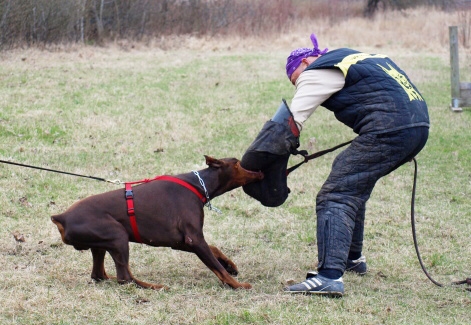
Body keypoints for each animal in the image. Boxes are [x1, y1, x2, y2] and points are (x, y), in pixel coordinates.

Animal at [52, 156, 266, 290]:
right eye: (238, 163)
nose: (260, 172)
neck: (200, 184)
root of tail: (61, 217)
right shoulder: (194, 239)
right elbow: (215, 266)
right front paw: (237, 285)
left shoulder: (180, 241)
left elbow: (214, 249)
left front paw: (230, 264)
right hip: (117, 235)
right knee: (125, 278)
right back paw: (155, 286)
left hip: (100, 243)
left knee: (99, 275)